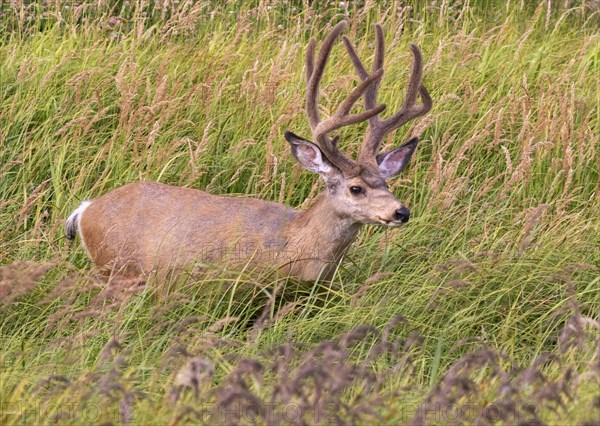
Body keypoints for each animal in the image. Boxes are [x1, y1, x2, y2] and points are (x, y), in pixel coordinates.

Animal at [64, 22, 432, 282]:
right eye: (356, 188)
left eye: (386, 183)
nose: (401, 212)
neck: (293, 242)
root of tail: (86, 209)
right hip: (116, 268)